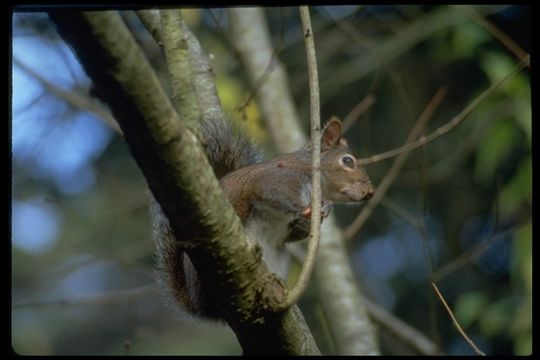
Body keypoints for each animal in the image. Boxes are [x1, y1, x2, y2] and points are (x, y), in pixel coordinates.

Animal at [150, 115, 374, 320]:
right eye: (347, 161)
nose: (369, 192)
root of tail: (202, 307)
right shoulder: (276, 179)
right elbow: (272, 192)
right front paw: (307, 209)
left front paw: (322, 210)